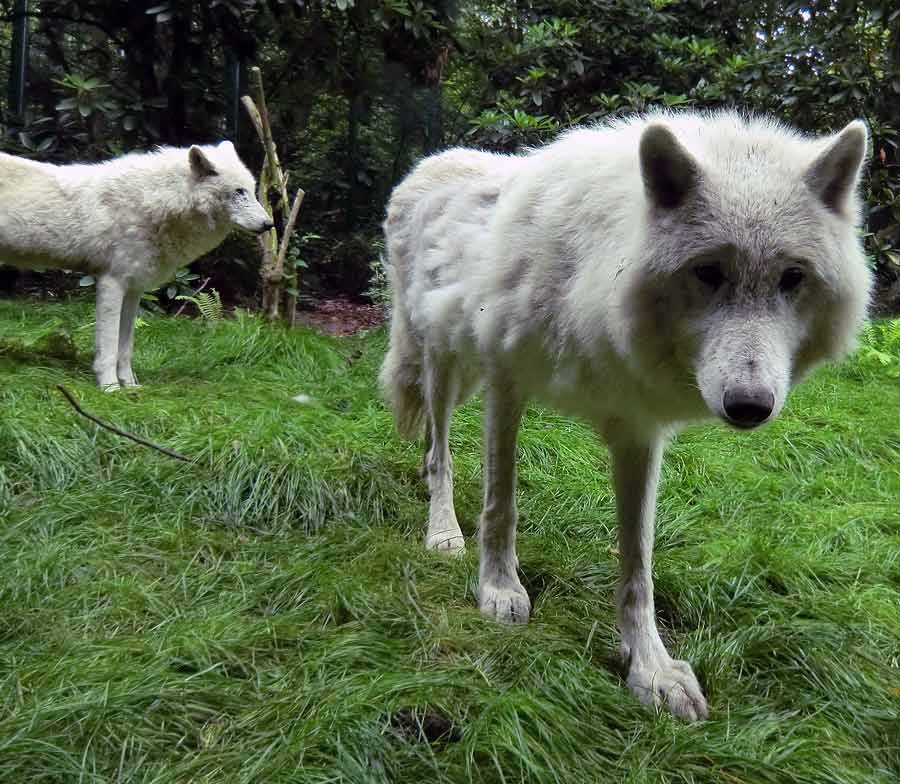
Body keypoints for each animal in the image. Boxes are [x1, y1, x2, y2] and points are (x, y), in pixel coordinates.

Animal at [1, 143, 272, 388]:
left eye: (252, 190)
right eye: (239, 192)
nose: (269, 224)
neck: (154, 201)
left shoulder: (133, 289)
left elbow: (125, 347)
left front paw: (130, 386)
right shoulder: (112, 283)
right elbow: (109, 347)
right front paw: (110, 388)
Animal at [378, 112, 872, 724]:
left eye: (792, 277)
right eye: (708, 272)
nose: (750, 406)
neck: (591, 275)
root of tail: (430, 161)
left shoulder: (638, 430)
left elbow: (638, 565)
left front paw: (650, 669)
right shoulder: (505, 381)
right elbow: (501, 504)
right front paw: (498, 589)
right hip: (441, 363)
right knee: (439, 451)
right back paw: (443, 531)